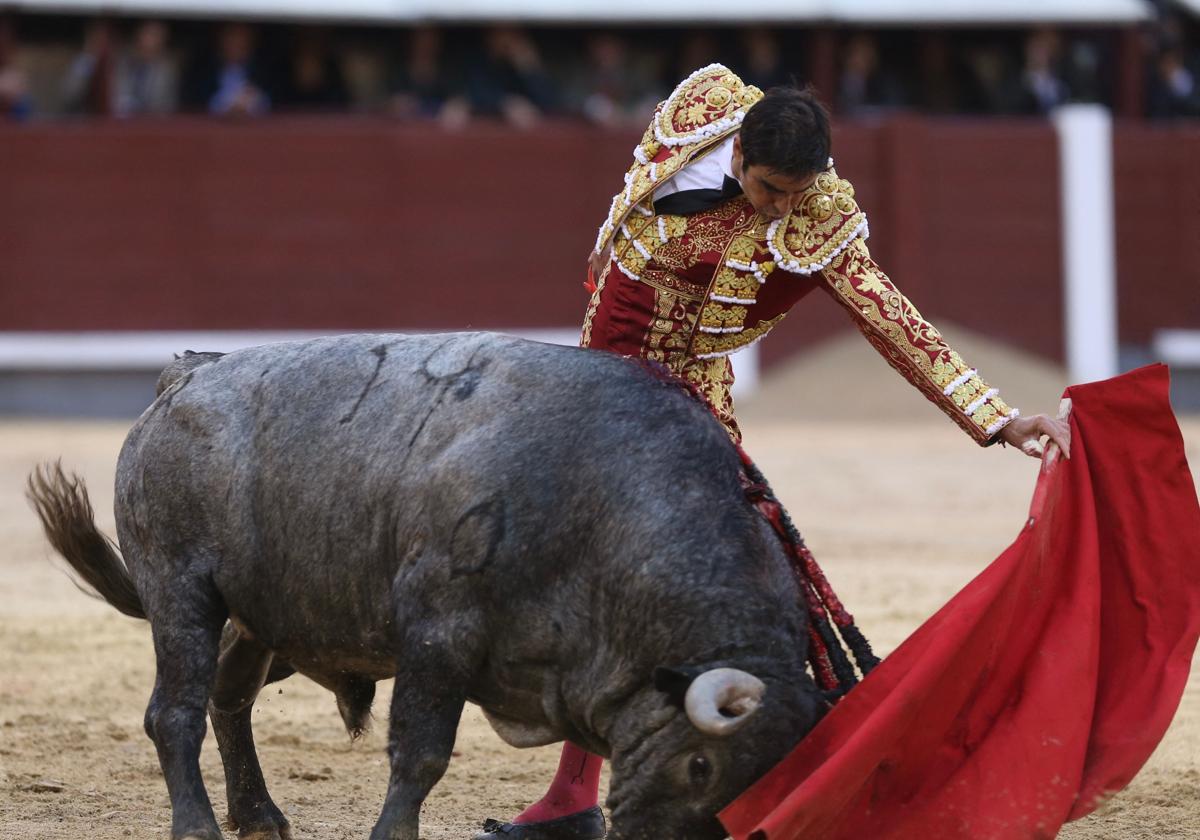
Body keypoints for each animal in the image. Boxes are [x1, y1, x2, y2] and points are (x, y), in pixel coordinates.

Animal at [28, 333, 820, 840]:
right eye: (699, 764)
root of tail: (187, 375)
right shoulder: (440, 633)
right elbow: (422, 752)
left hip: (266, 619)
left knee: (228, 698)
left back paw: (259, 817)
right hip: (180, 592)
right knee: (175, 711)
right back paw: (197, 828)